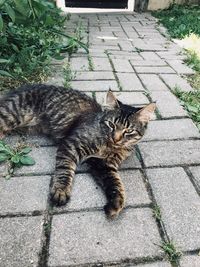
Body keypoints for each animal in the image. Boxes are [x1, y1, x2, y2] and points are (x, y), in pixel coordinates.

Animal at [0, 85, 155, 219]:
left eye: (128, 131)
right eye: (111, 124)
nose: (115, 138)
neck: (108, 146)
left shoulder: (104, 164)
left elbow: (116, 183)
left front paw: (116, 203)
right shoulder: (71, 145)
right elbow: (65, 169)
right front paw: (61, 190)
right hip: (12, 116)